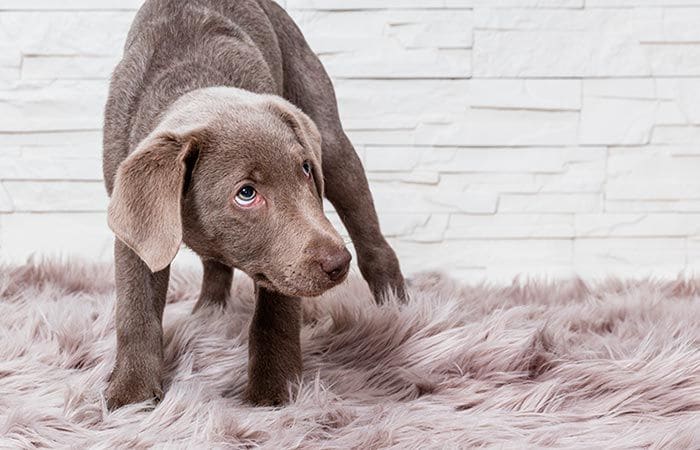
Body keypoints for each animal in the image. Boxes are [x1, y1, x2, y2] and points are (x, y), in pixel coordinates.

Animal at [100, 0, 404, 408]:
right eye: (246, 193)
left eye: (305, 169)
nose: (339, 263)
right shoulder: (139, 223)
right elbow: (136, 306)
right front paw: (130, 397)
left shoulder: (281, 258)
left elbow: (275, 315)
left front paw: (270, 395)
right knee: (215, 266)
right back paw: (208, 314)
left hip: (327, 129)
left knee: (371, 234)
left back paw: (398, 310)